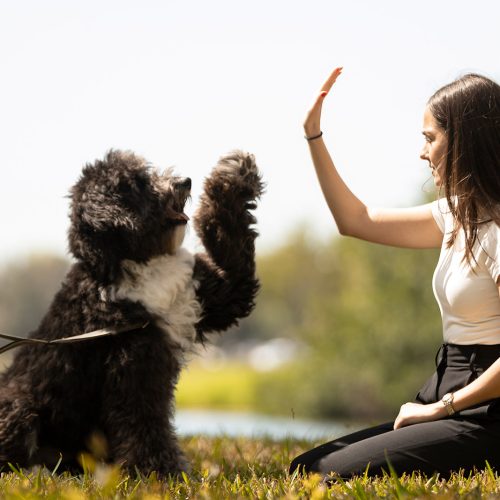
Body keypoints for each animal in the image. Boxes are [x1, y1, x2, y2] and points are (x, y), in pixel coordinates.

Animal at [0, 149, 264, 476]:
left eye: (146, 173)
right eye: (137, 184)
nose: (184, 181)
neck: (139, 265)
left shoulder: (212, 294)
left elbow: (234, 248)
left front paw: (233, 174)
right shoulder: (135, 363)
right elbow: (144, 424)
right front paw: (160, 472)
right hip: (19, 408)